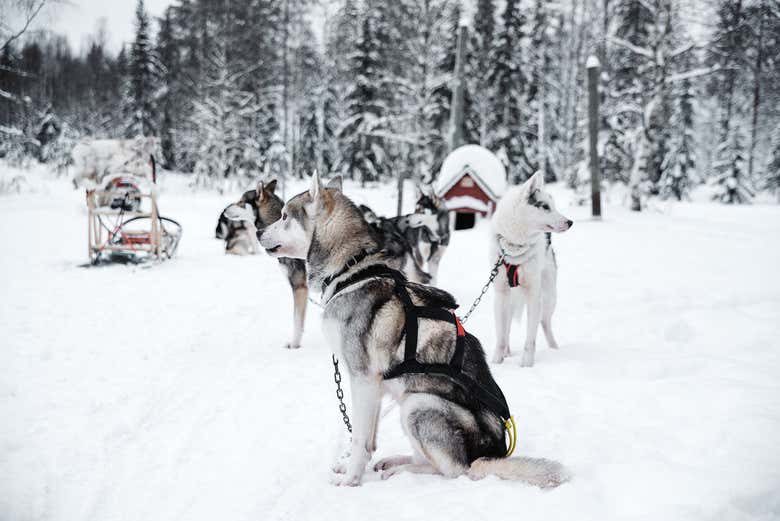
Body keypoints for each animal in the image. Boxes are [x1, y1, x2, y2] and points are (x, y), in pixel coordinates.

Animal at [494, 171, 572, 366]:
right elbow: (500, 335)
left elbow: (530, 338)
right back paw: (507, 351)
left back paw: (555, 349)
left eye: (553, 206)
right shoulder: (500, 294)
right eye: (545, 206)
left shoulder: (533, 294)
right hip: (511, 299)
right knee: (507, 327)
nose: (570, 222)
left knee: (544, 323)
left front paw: (526, 365)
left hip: (549, 296)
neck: (515, 248)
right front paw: (496, 362)